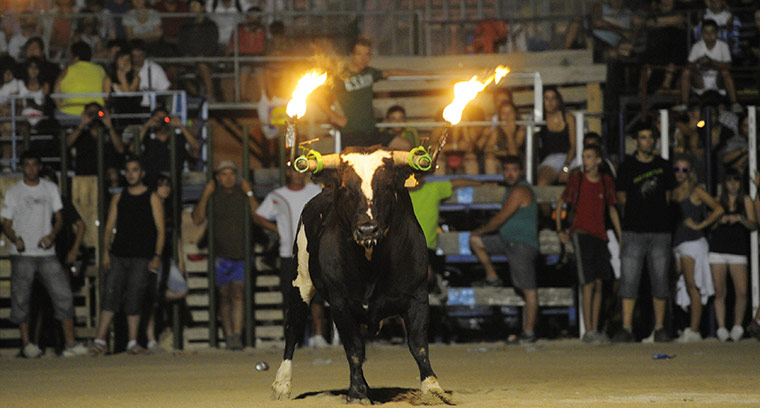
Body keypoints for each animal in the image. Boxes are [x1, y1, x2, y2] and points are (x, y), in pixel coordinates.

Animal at [271, 145, 451, 404]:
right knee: (293, 327)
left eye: (387, 186)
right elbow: (354, 349)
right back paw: (282, 384)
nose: (367, 229)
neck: (370, 262)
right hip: (300, 281)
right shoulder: (341, 304)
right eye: (346, 188)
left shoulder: (417, 296)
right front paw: (356, 393)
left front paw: (432, 387)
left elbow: (418, 344)